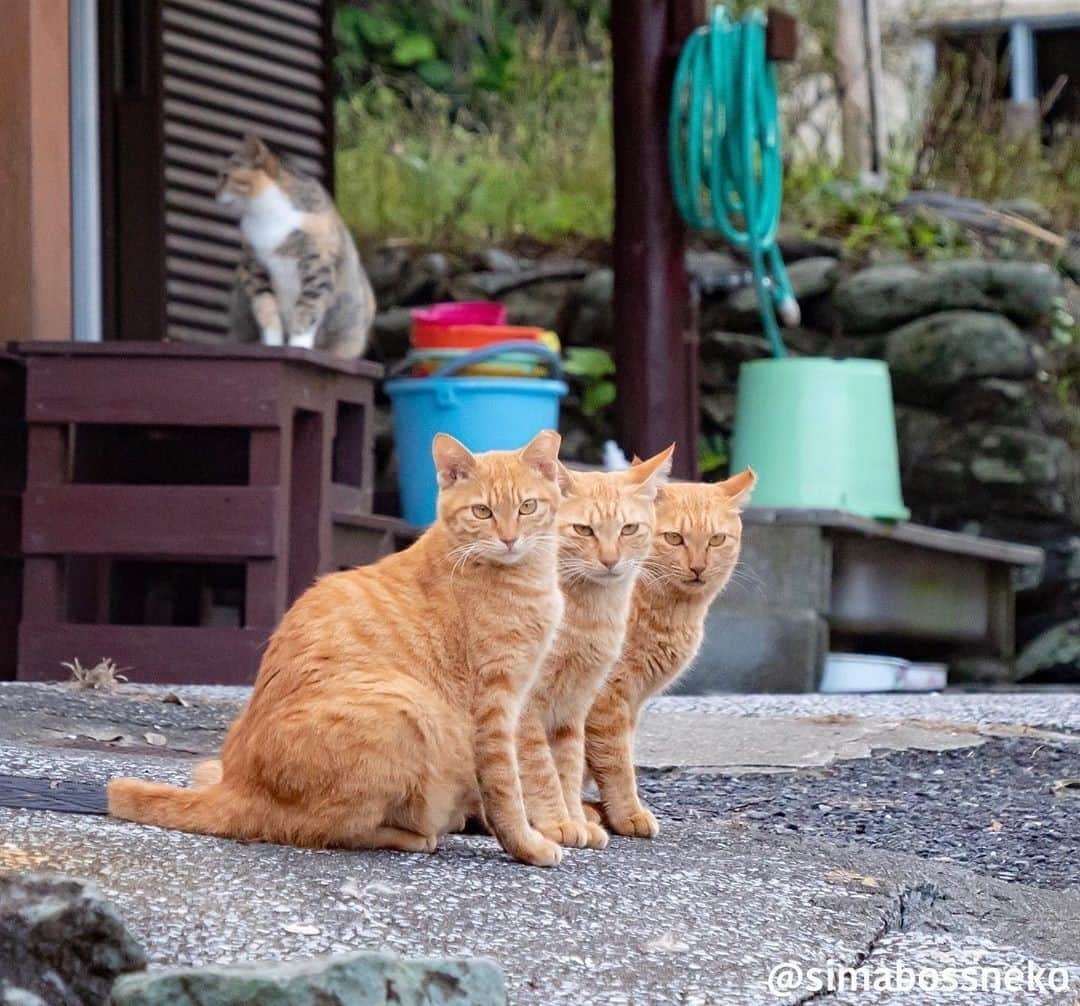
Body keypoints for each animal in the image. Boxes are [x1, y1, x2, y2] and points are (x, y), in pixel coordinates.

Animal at [105, 430, 570, 864]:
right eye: (482, 511)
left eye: (527, 507)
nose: (509, 539)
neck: (521, 577)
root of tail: (236, 785)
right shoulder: (494, 706)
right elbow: (507, 789)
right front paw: (528, 845)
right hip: (408, 708)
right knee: (323, 829)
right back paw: (414, 835)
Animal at [214, 131, 375, 356]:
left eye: (225, 176)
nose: (214, 194)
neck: (266, 216)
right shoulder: (254, 269)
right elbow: (266, 308)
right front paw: (272, 345)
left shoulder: (317, 263)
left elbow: (307, 309)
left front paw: (299, 346)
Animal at [518, 449, 669, 851]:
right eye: (583, 530)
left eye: (628, 529)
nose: (611, 560)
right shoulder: (526, 706)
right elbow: (540, 768)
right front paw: (556, 822)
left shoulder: (576, 704)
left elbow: (568, 768)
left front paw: (574, 820)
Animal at [587, 471, 756, 842]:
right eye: (675, 538)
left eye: (716, 540)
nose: (698, 567)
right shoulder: (607, 698)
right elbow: (615, 762)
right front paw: (627, 814)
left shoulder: (630, 703)